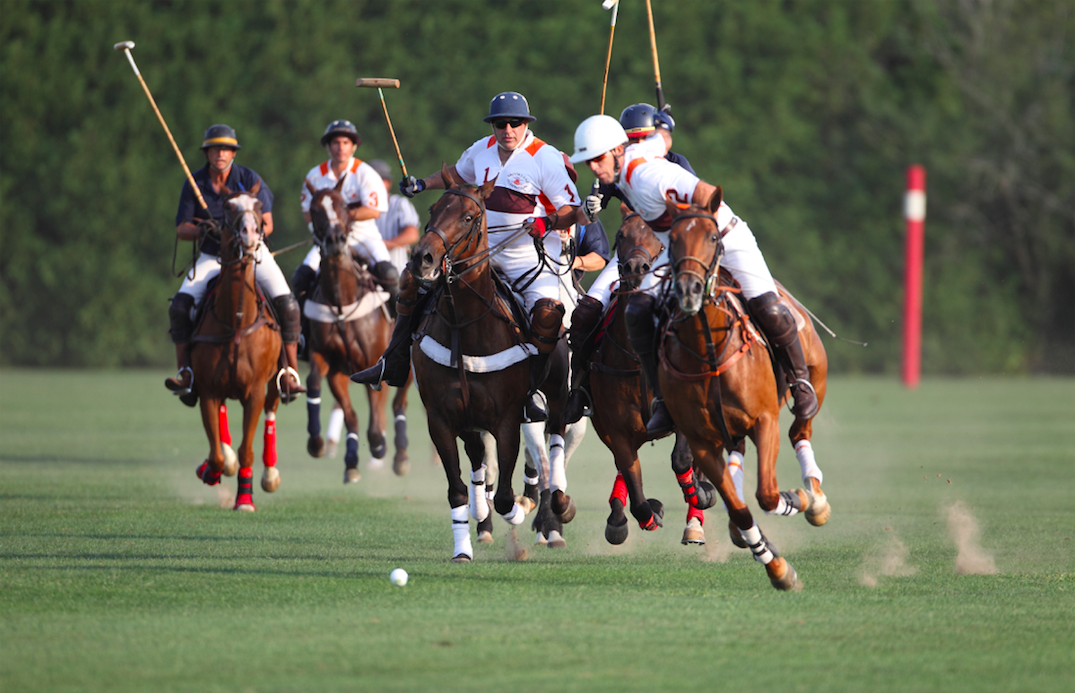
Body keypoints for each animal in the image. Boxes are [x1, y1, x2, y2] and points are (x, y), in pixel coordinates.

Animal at [189, 181, 283, 511]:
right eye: (229, 207)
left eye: (259, 205)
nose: (250, 233)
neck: (237, 320)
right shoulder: (207, 389)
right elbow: (217, 452)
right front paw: (211, 470)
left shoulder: (254, 392)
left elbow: (247, 450)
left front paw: (245, 498)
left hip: (275, 381)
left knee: (271, 410)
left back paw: (270, 475)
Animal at [303, 181, 404, 479]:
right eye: (315, 209)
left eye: (344, 206)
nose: (336, 240)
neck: (341, 302)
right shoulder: (331, 363)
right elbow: (323, 389)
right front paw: (324, 447)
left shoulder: (373, 361)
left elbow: (376, 417)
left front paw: (379, 445)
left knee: (399, 402)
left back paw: (400, 455)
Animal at [404, 168, 559, 562]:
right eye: (434, 208)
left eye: (469, 217)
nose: (422, 259)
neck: (466, 326)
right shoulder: (441, 419)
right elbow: (457, 489)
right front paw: (463, 549)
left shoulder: (506, 419)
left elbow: (505, 495)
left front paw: (519, 511)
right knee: (478, 463)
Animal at [657, 190, 825, 588]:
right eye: (672, 240)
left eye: (712, 237)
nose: (688, 290)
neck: (708, 349)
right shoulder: (702, 442)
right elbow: (740, 508)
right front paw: (777, 568)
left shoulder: (764, 420)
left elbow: (766, 494)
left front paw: (796, 499)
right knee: (738, 456)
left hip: (816, 377)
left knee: (800, 429)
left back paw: (815, 499)